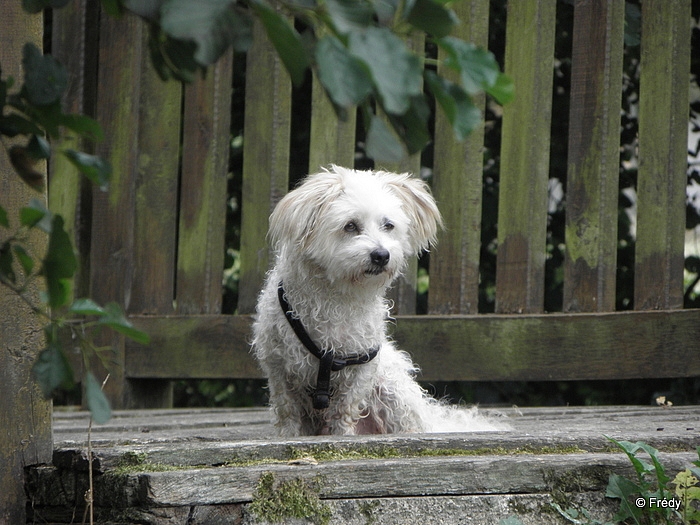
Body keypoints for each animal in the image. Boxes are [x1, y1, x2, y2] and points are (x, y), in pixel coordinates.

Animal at [254, 166, 500, 436]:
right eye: (350, 226)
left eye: (388, 225)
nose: (381, 255)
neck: (338, 298)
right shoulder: (278, 366)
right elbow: (287, 411)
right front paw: (289, 436)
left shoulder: (361, 368)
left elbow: (345, 408)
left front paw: (342, 435)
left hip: (392, 393)